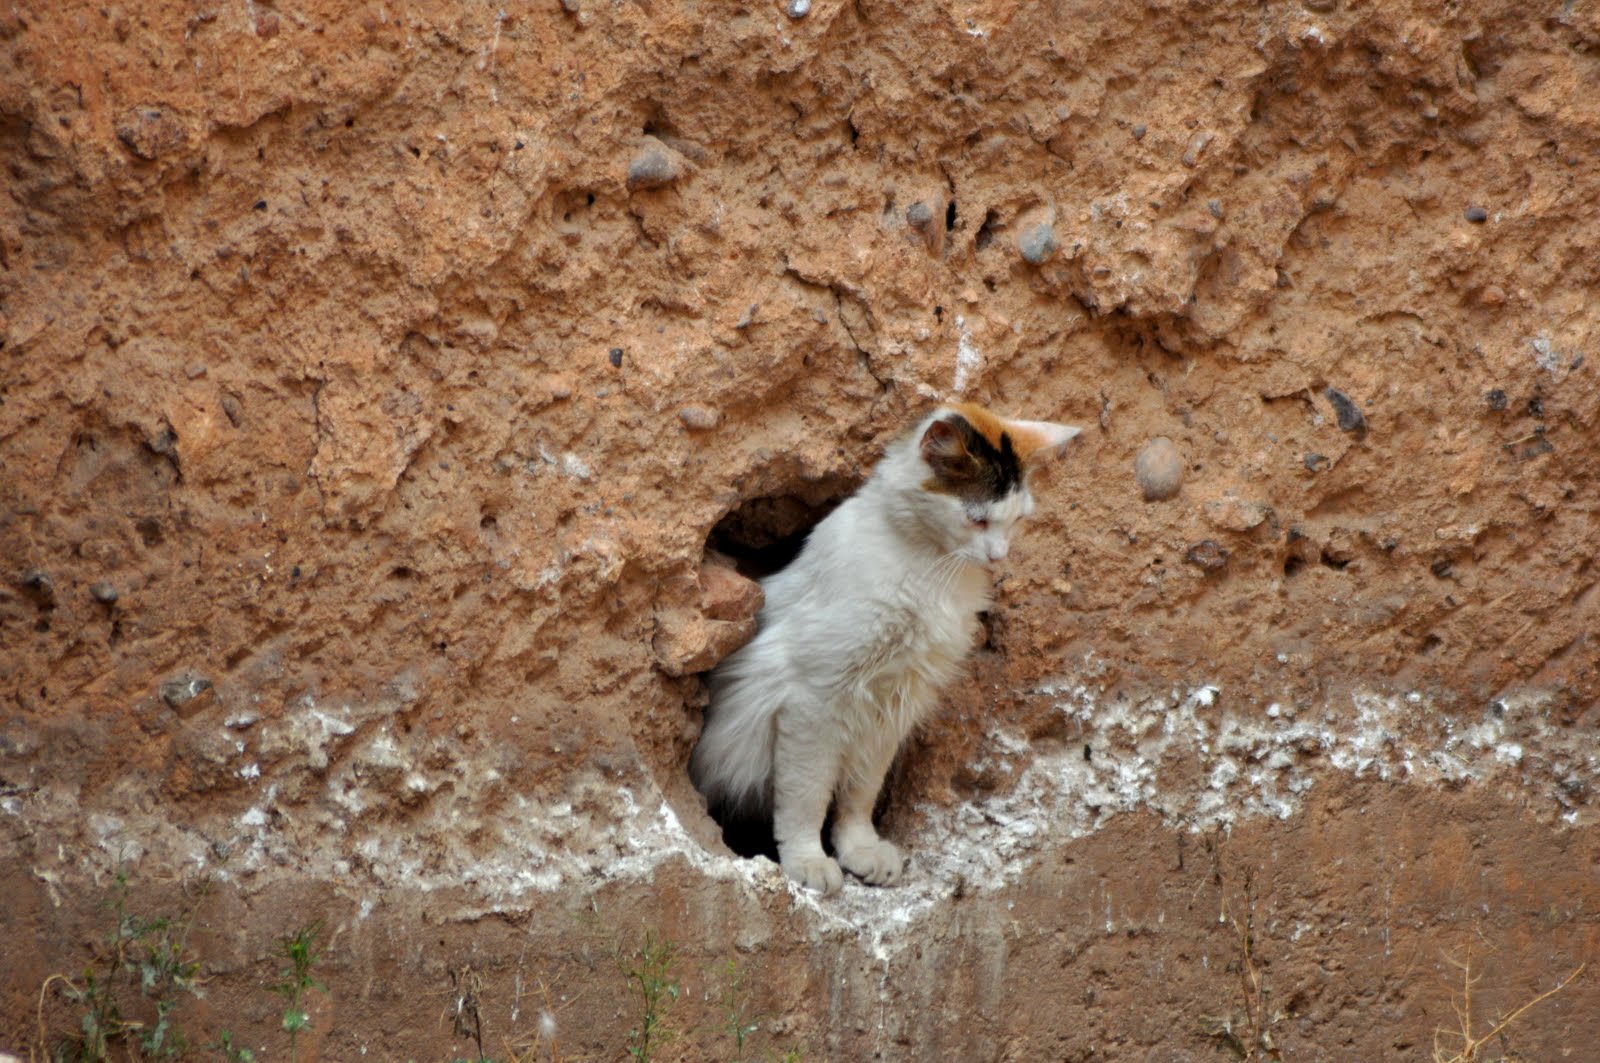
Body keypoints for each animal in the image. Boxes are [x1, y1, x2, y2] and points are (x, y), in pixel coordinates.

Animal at [688, 403, 1075, 890]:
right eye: (978, 519)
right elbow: (806, 795)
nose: (998, 556)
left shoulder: (892, 703)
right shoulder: (815, 699)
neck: (930, 568)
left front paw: (860, 850)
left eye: (1018, 520)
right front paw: (807, 861)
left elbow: (859, 794)